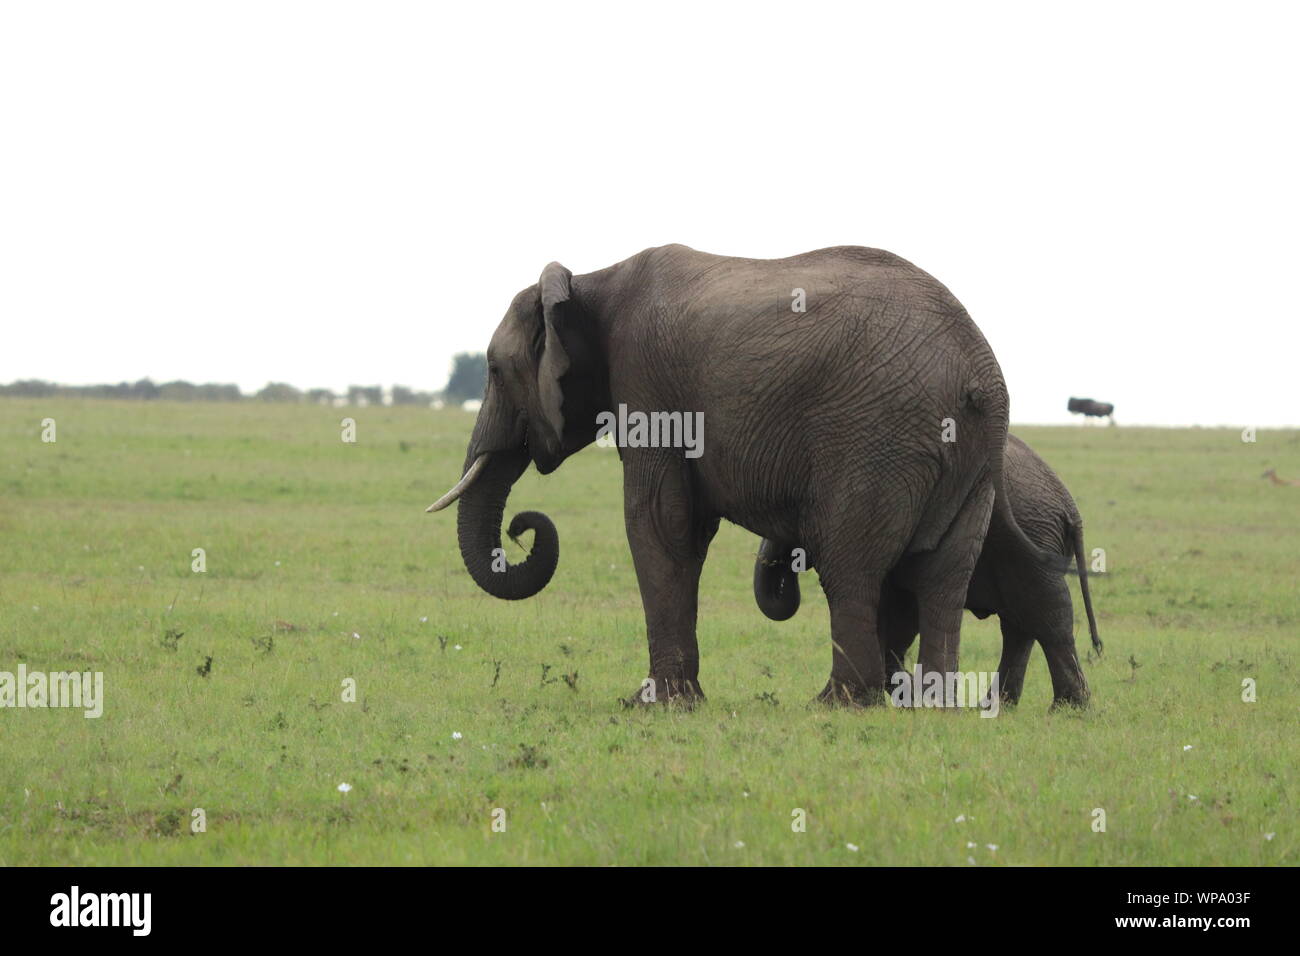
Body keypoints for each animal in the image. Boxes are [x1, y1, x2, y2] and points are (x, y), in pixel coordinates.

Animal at [426, 244, 1055, 712]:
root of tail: (979, 374)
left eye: (493, 369)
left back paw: (838, 703)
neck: (590, 282)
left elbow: (659, 522)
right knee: (943, 573)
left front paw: (653, 705)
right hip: (975, 463)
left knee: (850, 565)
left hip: (877, 440)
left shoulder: (649, 384)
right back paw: (932, 706)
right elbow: (683, 526)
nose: (521, 528)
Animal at [759, 437, 1102, 707]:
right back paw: (999, 705)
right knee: (1022, 623)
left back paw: (1065, 708)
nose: (788, 564)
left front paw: (908, 693)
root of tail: (1071, 509)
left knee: (1046, 614)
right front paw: (906, 692)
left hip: (1030, 542)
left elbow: (900, 612)